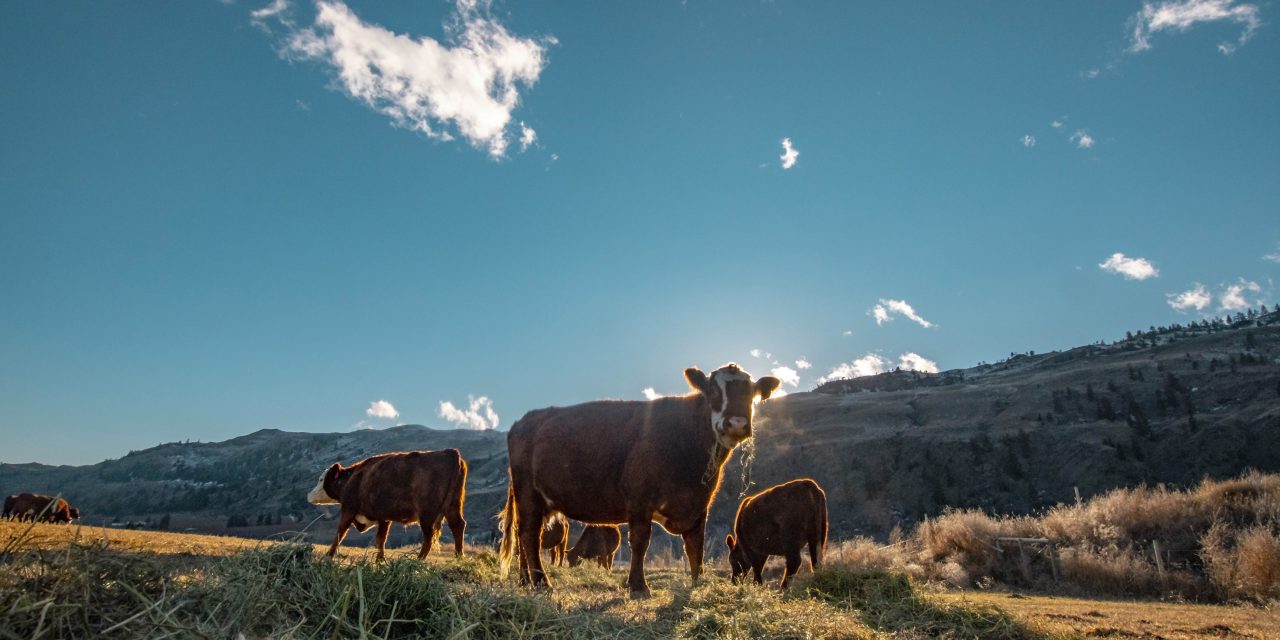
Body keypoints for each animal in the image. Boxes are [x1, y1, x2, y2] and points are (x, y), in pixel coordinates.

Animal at [306, 449, 468, 561]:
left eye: (321, 479)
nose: (309, 495)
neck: (353, 478)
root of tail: (450, 452)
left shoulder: (348, 508)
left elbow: (340, 532)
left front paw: (329, 555)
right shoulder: (384, 517)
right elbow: (381, 539)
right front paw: (380, 560)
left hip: (427, 512)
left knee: (429, 535)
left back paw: (419, 559)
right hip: (452, 505)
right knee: (458, 525)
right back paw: (459, 556)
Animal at [498, 363, 781, 598]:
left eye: (752, 393)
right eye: (713, 390)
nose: (737, 423)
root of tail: (523, 421)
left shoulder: (699, 505)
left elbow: (695, 547)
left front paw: (697, 583)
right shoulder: (639, 500)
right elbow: (640, 542)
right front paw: (638, 586)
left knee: (523, 535)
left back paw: (525, 580)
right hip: (529, 495)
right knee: (529, 535)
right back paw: (541, 582)